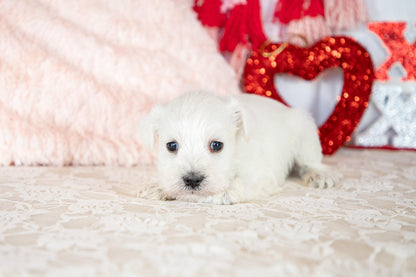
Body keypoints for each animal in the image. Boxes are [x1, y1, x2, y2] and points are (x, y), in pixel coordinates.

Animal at [140, 91, 334, 204]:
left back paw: (319, 174)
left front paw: (219, 193)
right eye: (172, 146)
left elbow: (238, 185)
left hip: (305, 133)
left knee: (311, 161)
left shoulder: (260, 176)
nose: (192, 180)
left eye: (216, 145)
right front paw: (158, 187)